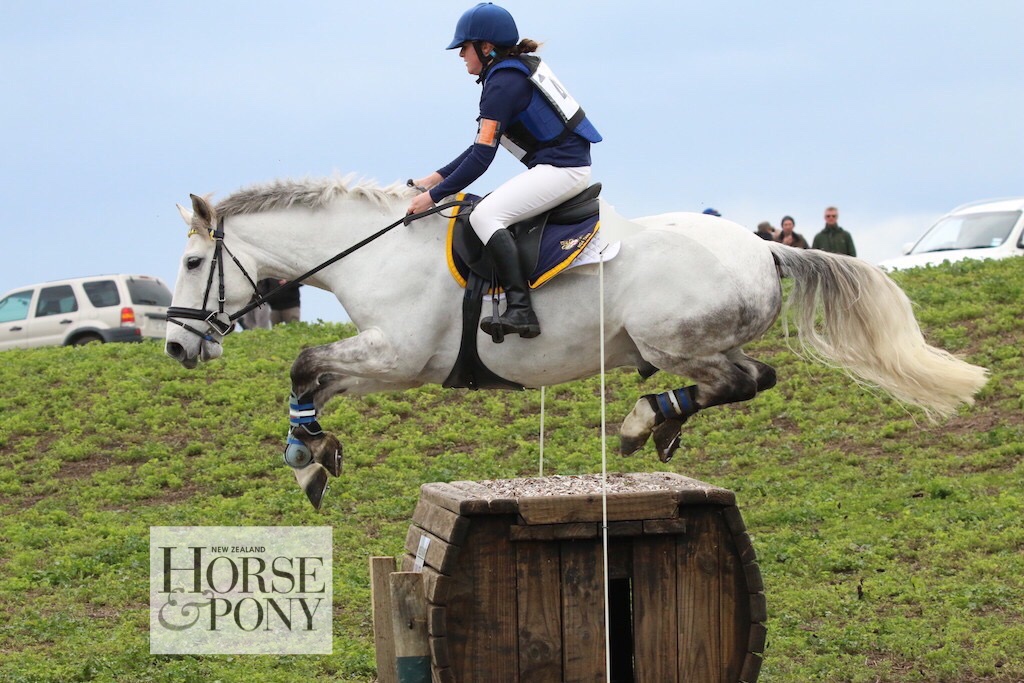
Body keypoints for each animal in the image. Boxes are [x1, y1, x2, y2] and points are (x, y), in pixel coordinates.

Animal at [167, 176, 991, 507]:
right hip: (690, 340)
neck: (372, 248)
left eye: (191, 263)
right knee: (752, 378)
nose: (175, 349)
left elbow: (305, 363)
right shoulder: (387, 362)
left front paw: (307, 459)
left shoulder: (399, 356)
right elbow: (314, 379)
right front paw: (312, 450)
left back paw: (643, 418)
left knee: (739, 379)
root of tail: (766, 246)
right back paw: (663, 423)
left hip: (673, 336)